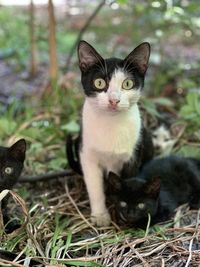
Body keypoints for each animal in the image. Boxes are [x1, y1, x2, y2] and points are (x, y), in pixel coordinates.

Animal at [74, 40, 152, 227]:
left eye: (127, 84)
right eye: (99, 83)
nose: (114, 100)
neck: (111, 124)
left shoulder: (132, 157)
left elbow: (131, 183)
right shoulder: (87, 155)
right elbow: (95, 187)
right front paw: (100, 215)